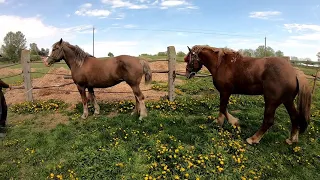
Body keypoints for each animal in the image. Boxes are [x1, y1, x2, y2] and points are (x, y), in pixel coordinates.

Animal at [184, 44, 312, 145]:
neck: (221, 64)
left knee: (268, 121)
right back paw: (292, 139)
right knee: (294, 117)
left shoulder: (225, 92)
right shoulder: (224, 93)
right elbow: (222, 109)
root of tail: (294, 72)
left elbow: (223, 108)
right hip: (287, 100)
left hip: (271, 101)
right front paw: (220, 122)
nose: (187, 73)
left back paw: (253, 139)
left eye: (189, 59)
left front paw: (232, 122)